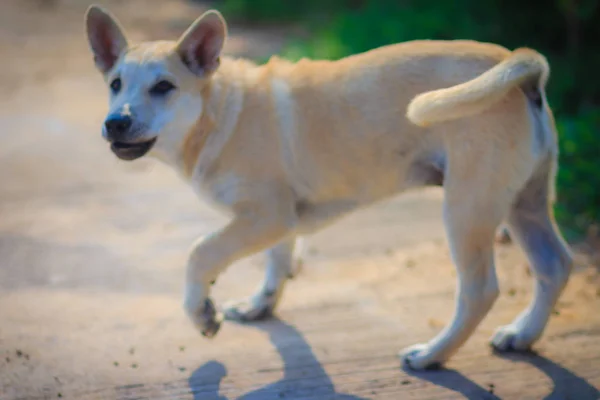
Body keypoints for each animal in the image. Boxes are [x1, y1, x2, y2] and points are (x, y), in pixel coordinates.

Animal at [84, 4, 572, 370]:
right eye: (115, 85)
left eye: (164, 87)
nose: (115, 123)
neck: (222, 111)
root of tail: (519, 66)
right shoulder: (279, 219)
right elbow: (278, 259)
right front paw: (261, 304)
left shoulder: (263, 216)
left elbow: (200, 253)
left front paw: (202, 314)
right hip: (524, 202)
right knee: (555, 264)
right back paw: (523, 334)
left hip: (467, 207)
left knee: (479, 290)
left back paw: (432, 355)